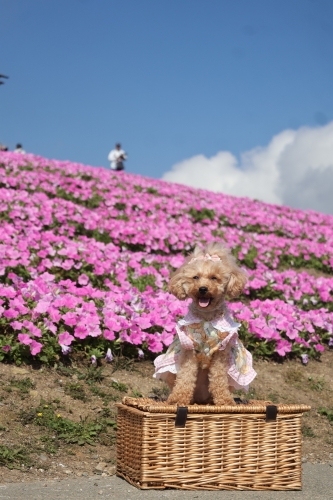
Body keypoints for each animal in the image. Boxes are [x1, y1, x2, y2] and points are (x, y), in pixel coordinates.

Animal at [152, 242, 255, 406]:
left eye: (214, 278)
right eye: (195, 277)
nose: (202, 289)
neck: (206, 316)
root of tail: (200, 398)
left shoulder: (221, 351)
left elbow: (218, 378)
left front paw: (225, 401)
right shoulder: (189, 348)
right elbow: (186, 376)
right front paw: (178, 399)